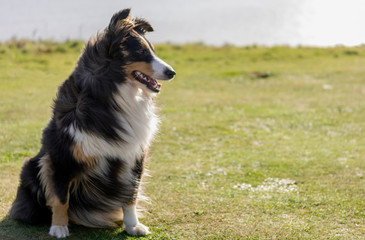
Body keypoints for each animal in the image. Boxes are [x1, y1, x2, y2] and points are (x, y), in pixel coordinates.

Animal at [8, 7, 173, 238]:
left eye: (153, 51)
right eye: (140, 52)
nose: (172, 72)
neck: (111, 91)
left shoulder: (134, 155)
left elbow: (130, 194)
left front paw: (132, 225)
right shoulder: (61, 155)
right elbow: (61, 196)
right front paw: (59, 227)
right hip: (31, 168)